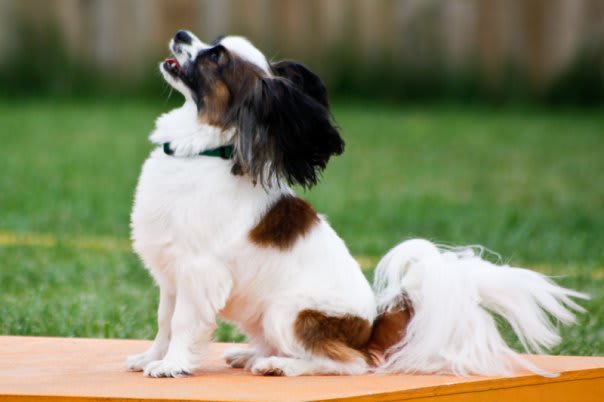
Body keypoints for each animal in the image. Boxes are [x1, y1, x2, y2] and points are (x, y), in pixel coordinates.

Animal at [126, 29, 584, 378]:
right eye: (212, 42)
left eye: (215, 57)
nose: (181, 33)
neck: (200, 152)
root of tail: (368, 328)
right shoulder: (172, 276)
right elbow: (164, 321)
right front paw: (151, 357)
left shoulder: (198, 273)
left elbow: (183, 322)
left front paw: (171, 366)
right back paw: (253, 353)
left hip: (287, 314)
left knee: (349, 363)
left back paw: (281, 365)